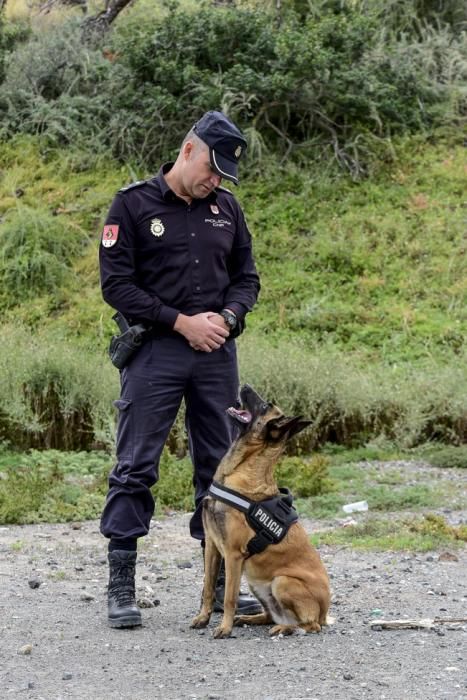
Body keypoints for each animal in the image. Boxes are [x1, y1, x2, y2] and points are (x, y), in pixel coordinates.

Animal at [192, 386, 330, 636]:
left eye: (265, 406)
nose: (244, 385)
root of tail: (325, 613)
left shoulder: (233, 555)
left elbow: (229, 597)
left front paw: (224, 628)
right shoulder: (213, 548)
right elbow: (208, 588)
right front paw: (203, 618)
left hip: (281, 581)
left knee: (309, 625)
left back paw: (284, 628)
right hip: (257, 582)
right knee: (270, 615)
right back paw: (251, 619)